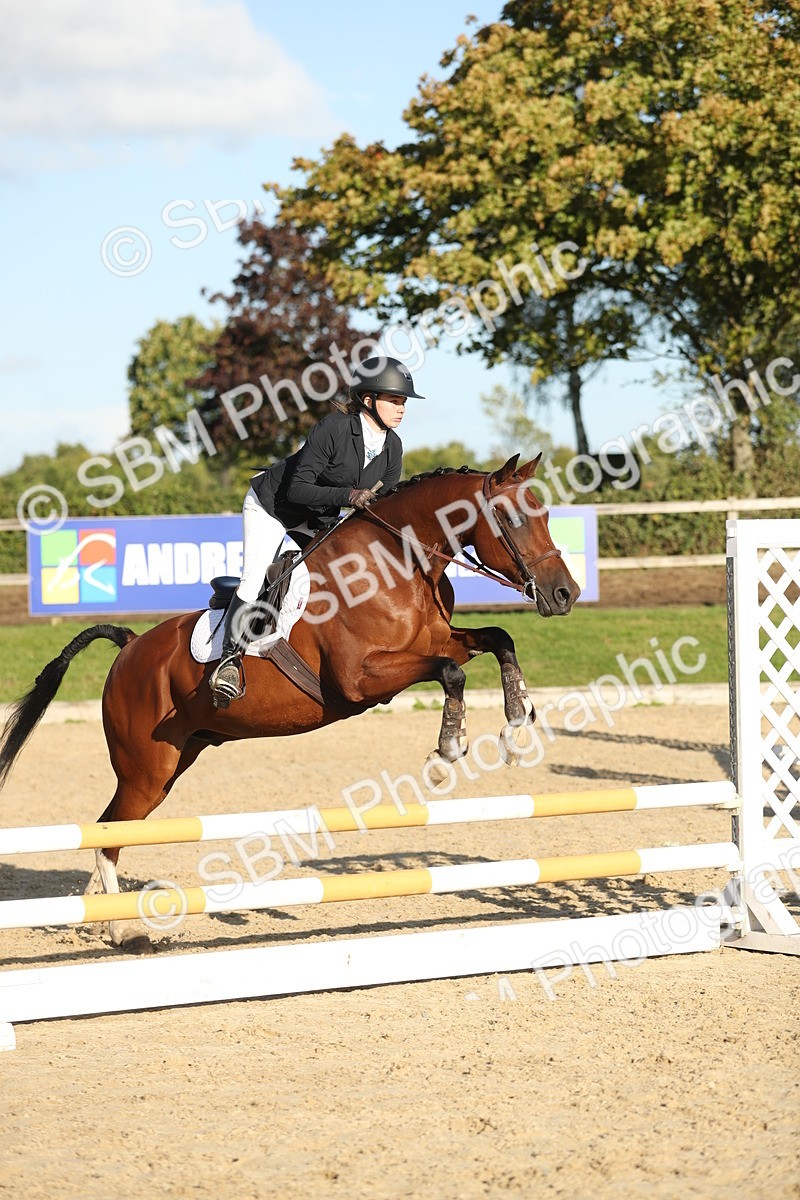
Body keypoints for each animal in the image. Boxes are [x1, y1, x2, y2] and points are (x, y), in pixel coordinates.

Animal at [0, 454, 579, 951]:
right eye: (512, 517)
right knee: (108, 831)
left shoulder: (439, 641)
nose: (564, 595)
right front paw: (446, 752)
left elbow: (499, 639)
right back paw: (122, 930)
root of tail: (130, 646)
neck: (399, 564)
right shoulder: (362, 678)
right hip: (146, 768)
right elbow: (452, 673)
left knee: (109, 829)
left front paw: (516, 727)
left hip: (172, 763)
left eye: (547, 514)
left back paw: (98, 917)